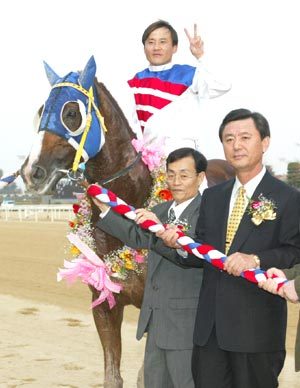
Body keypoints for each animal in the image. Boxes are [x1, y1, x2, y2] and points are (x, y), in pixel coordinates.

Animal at [19, 56, 234, 386]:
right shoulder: (105, 305)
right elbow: (113, 374)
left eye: (71, 112)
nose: (32, 172)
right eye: (42, 111)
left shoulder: (155, 309)